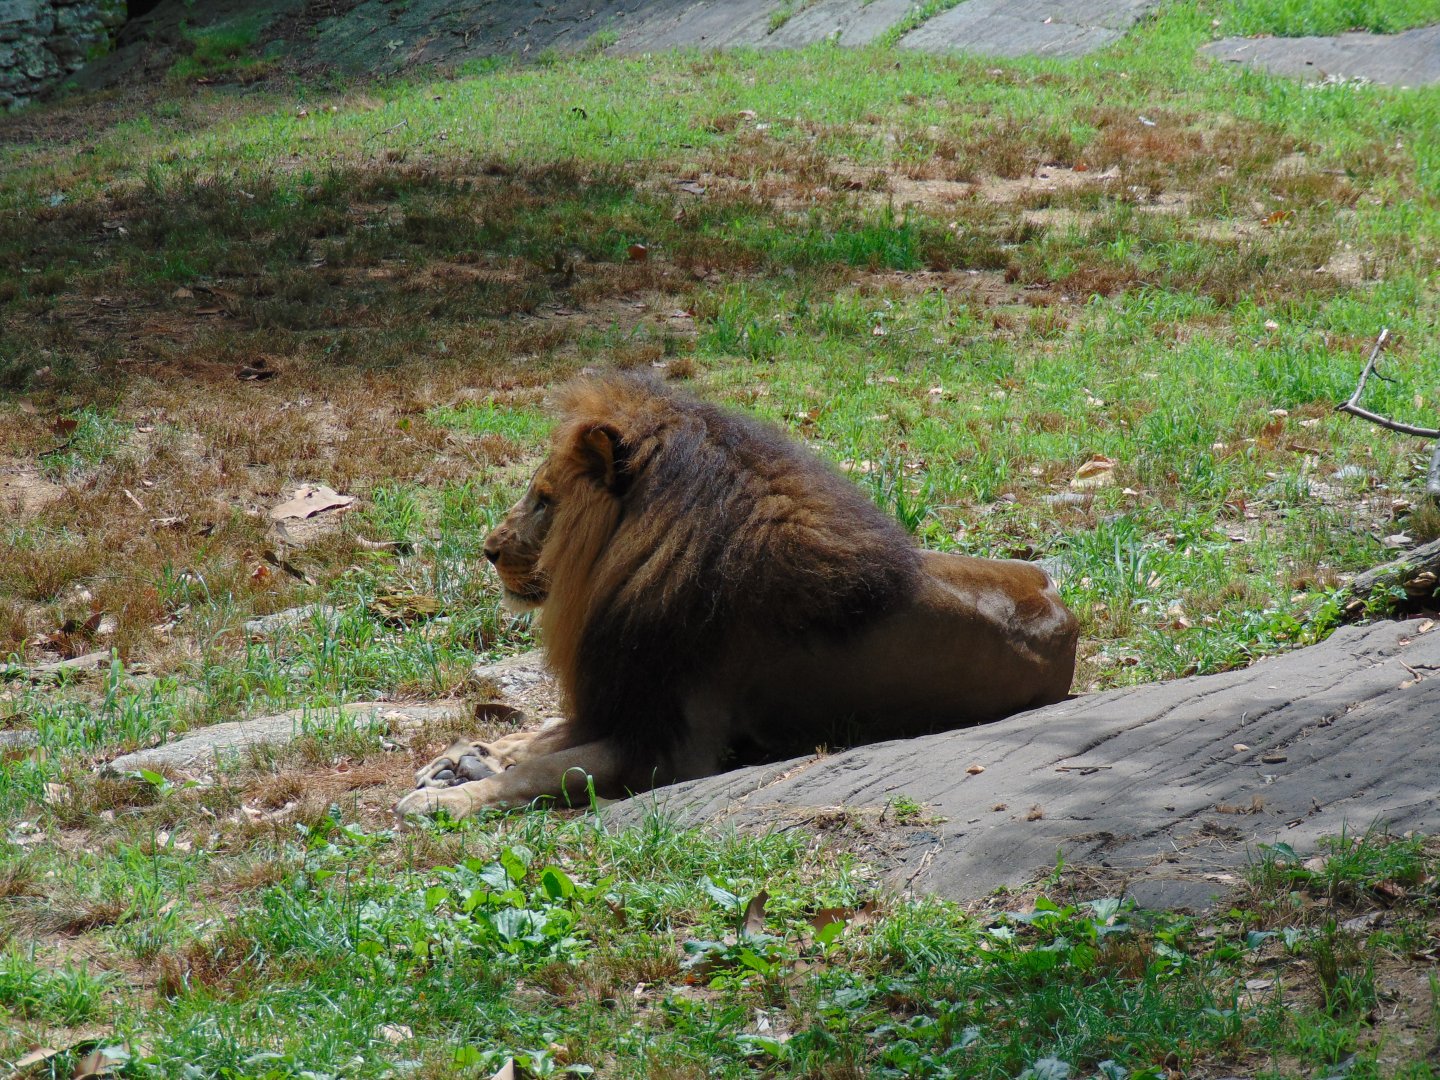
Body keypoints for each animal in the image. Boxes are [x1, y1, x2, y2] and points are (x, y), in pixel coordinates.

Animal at [395, 373, 1078, 820]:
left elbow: (548, 766)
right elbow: (540, 738)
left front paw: (447, 798)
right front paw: (462, 760)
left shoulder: (679, 749)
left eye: (544, 500)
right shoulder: (627, 701)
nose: (487, 549)